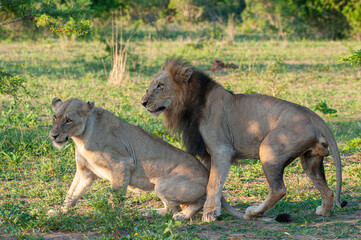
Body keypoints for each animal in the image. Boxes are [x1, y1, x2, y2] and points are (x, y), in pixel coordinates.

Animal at [47, 97, 248, 219]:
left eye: (68, 120)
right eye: (55, 117)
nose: (54, 135)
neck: (80, 138)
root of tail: (208, 174)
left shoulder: (122, 164)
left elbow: (116, 196)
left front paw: (112, 216)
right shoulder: (86, 172)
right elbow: (72, 194)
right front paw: (59, 211)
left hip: (163, 184)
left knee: (195, 202)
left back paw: (182, 216)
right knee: (170, 208)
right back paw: (146, 211)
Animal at [140, 57, 346, 222]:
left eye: (160, 86)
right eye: (150, 85)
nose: (143, 102)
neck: (188, 105)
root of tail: (315, 117)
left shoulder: (221, 150)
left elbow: (213, 183)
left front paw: (210, 213)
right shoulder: (207, 154)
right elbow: (206, 181)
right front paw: (191, 207)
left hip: (269, 149)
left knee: (278, 190)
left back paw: (254, 212)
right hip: (310, 159)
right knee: (327, 190)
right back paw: (324, 211)